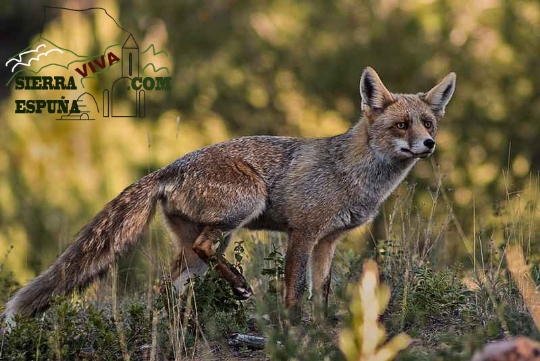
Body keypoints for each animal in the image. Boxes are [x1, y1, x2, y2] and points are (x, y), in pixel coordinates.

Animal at [1, 66, 456, 322]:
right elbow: (295, 290)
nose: (429, 145)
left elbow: (323, 292)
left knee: (167, 286)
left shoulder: (329, 240)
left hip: (196, 251)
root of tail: (168, 168)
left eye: (428, 123)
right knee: (202, 253)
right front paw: (293, 327)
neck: (353, 174)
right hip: (243, 207)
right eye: (402, 125)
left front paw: (325, 326)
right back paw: (237, 286)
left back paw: (178, 324)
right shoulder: (303, 233)